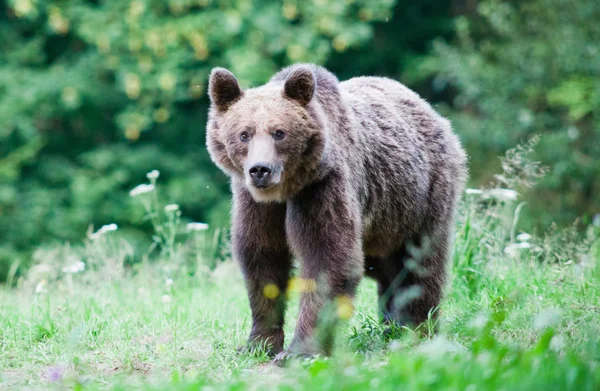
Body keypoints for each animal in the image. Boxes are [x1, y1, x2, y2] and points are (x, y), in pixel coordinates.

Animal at [206, 63, 468, 362]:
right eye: (244, 134)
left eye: (279, 132)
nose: (260, 170)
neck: (285, 191)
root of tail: (431, 112)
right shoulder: (258, 206)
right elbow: (262, 259)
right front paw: (258, 344)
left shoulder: (322, 189)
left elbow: (327, 258)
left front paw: (299, 351)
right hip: (386, 220)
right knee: (389, 270)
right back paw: (392, 326)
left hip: (422, 198)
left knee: (421, 265)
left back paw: (416, 328)